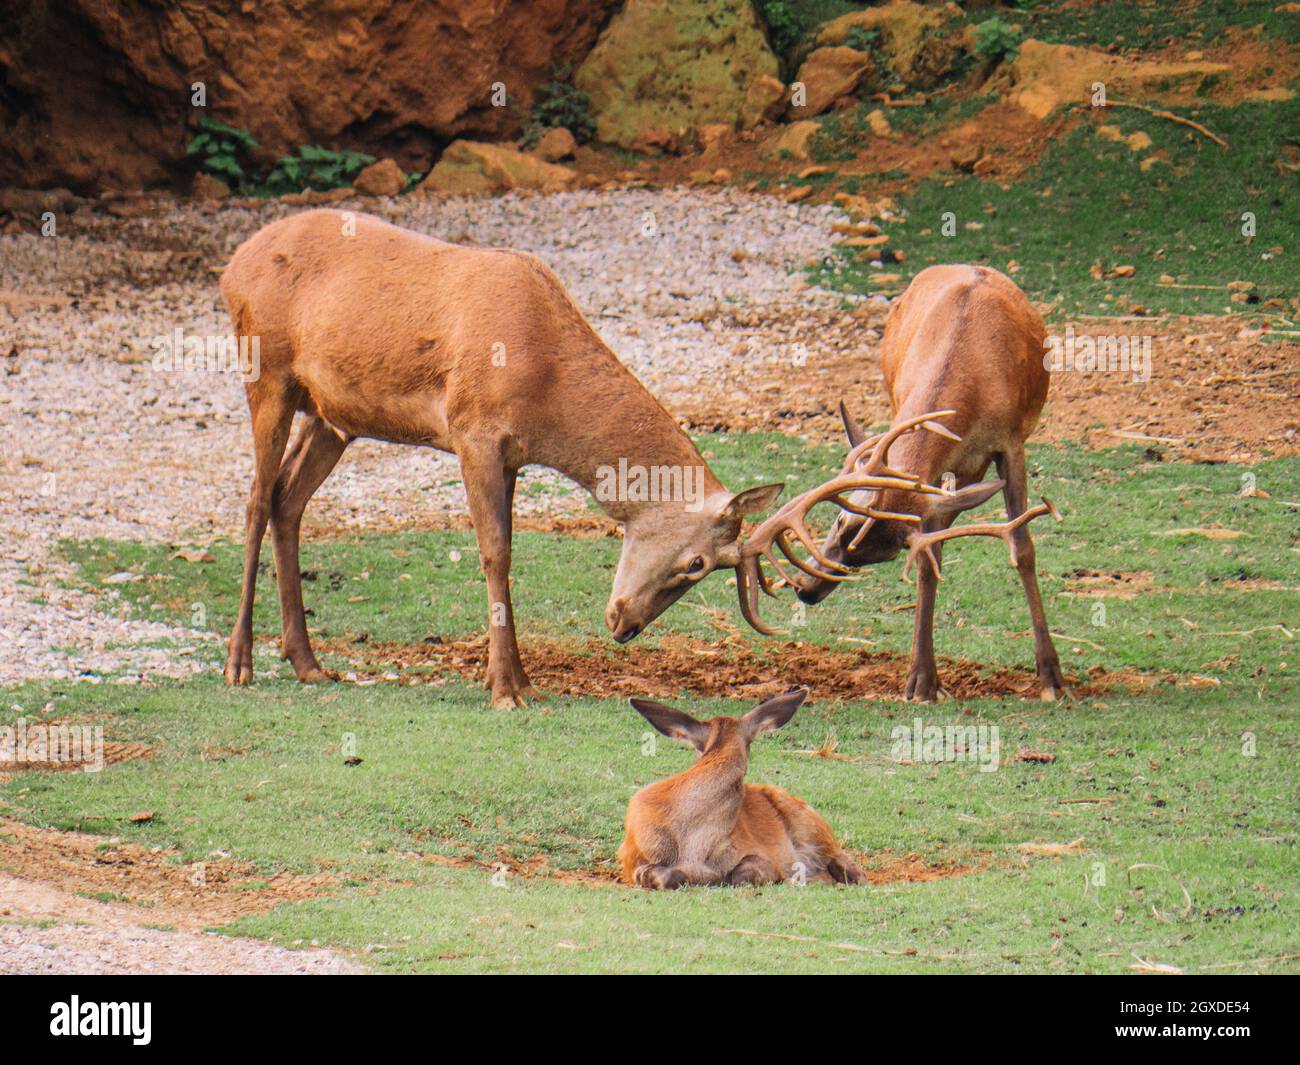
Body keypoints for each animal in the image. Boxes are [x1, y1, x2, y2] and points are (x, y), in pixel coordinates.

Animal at [218, 209, 784, 709]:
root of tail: (233, 265)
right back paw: (239, 663)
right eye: (697, 563)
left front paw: (523, 681)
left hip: (331, 415)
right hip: (265, 371)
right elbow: (495, 553)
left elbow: (508, 549)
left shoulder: (512, 456)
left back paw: (307, 662)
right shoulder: (473, 431)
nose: (625, 625)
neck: (546, 385)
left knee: (287, 499)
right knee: (255, 501)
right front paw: (504, 690)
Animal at [732, 265, 1067, 703]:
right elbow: (929, 560)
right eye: (840, 521)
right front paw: (921, 678)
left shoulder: (1011, 443)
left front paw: (1051, 675)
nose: (806, 588)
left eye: (884, 555)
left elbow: (1022, 549)